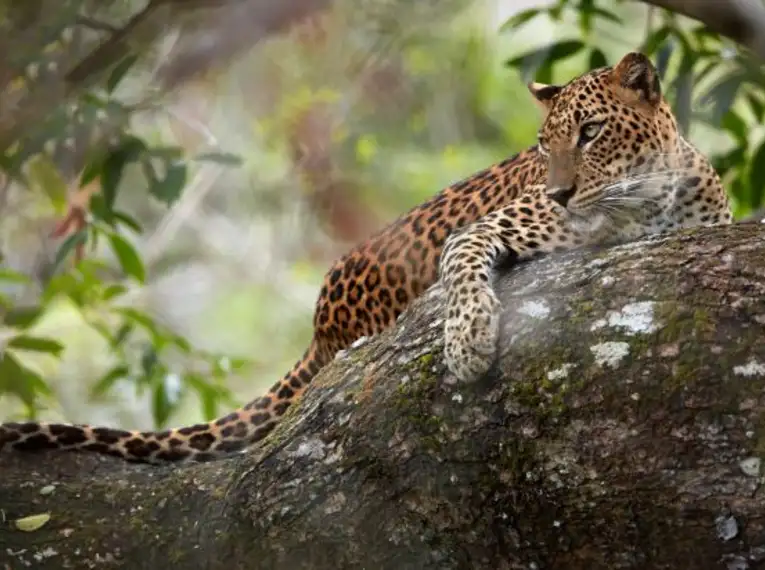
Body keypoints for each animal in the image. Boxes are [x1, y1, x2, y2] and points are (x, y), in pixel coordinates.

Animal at [0, 52, 732, 463]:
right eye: (543, 145)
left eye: (591, 132)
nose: (558, 191)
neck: (654, 194)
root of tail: (320, 324)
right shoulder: (487, 228)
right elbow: (463, 268)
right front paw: (468, 344)